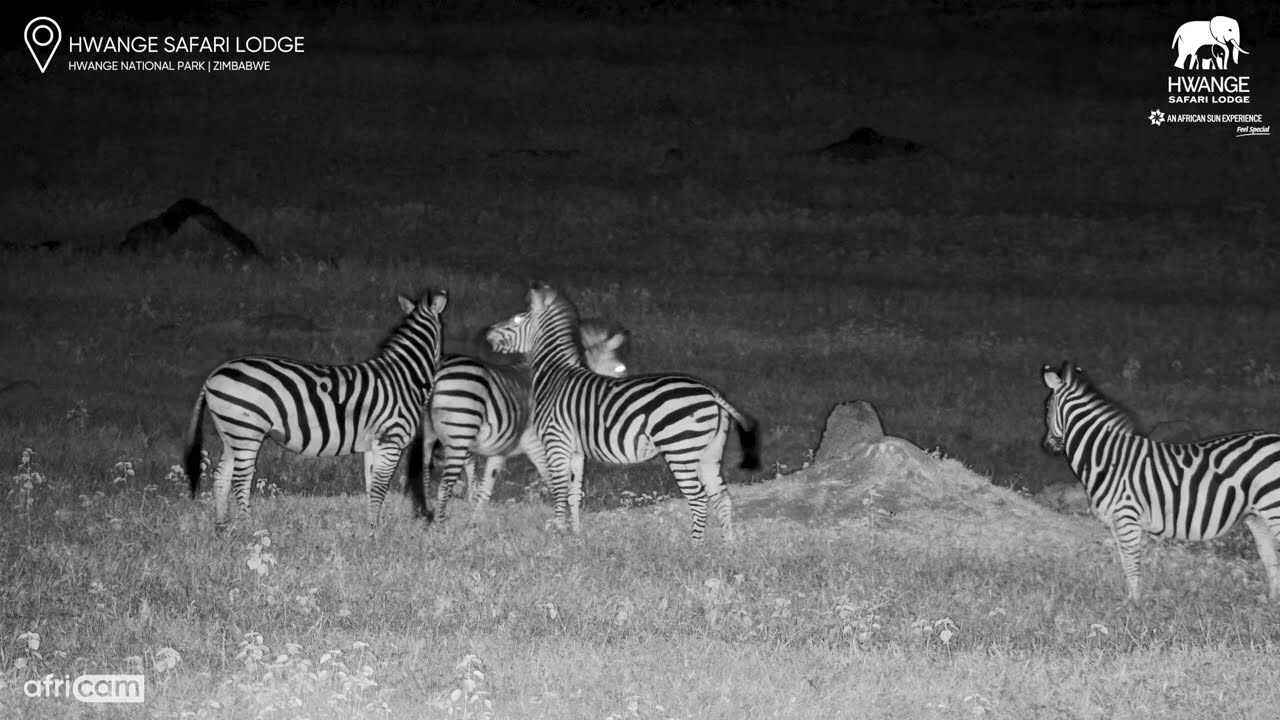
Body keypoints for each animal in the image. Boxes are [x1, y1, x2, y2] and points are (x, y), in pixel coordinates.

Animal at [184, 291, 449, 532]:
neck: (404, 377)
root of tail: (214, 374)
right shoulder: (390, 440)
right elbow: (380, 487)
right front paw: (376, 531)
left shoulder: (374, 444)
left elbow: (371, 485)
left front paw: (372, 526)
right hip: (247, 432)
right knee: (241, 479)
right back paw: (250, 529)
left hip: (231, 434)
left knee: (221, 475)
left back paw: (221, 527)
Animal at [484, 283, 760, 542]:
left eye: (518, 319)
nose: (486, 333)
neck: (555, 376)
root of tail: (711, 392)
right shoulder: (576, 450)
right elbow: (574, 493)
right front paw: (575, 535)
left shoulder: (556, 442)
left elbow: (559, 491)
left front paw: (559, 533)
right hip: (710, 452)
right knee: (721, 496)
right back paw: (727, 546)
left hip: (680, 450)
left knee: (699, 499)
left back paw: (695, 547)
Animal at [1041, 361, 1280, 603]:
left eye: (1047, 407)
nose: (1046, 447)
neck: (1106, 457)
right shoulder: (1117, 522)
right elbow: (1125, 563)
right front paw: (1128, 600)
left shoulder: (1127, 516)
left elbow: (1132, 564)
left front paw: (1135, 604)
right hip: (1256, 517)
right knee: (1270, 559)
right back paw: (1271, 602)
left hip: (1274, 508)